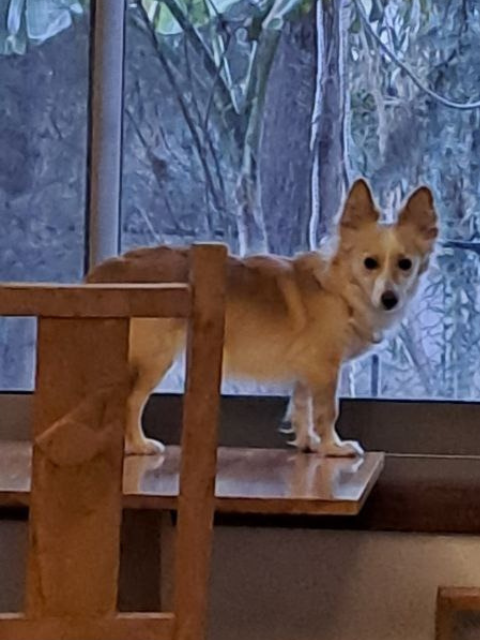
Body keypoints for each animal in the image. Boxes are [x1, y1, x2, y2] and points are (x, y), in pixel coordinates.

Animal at [86, 179, 438, 457]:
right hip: (155, 360)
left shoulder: (307, 369)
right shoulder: (325, 368)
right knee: (131, 402)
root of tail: (115, 270)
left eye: (405, 264)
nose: (389, 298)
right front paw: (332, 447)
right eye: (369, 263)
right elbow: (327, 411)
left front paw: (308, 443)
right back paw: (137, 445)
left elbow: (301, 406)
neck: (342, 291)